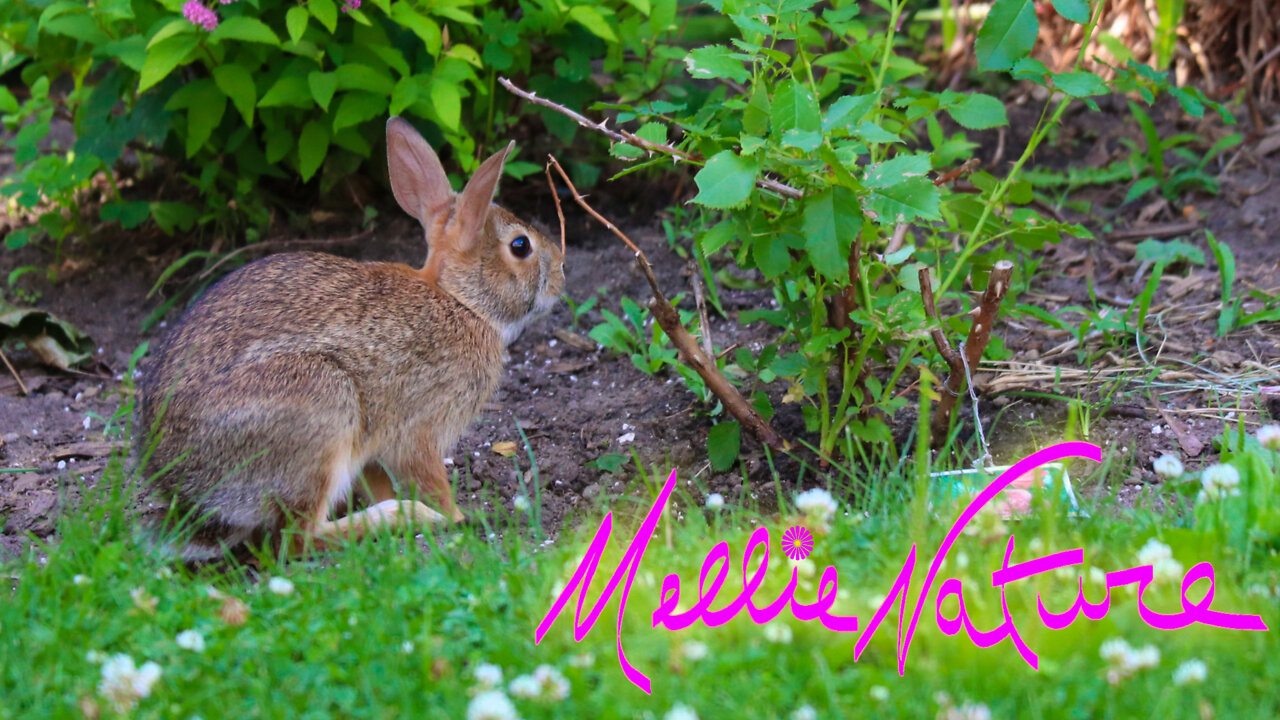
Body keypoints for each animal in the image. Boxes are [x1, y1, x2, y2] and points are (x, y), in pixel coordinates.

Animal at [133, 116, 565, 561]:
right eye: (520, 246)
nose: (562, 275)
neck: (460, 300)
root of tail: (192, 491)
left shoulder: (375, 446)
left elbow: (378, 478)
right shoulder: (420, 429)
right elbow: (429, 479)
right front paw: (457, 517)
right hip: (322, 406)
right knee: (297, 539)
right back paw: (404, 516)